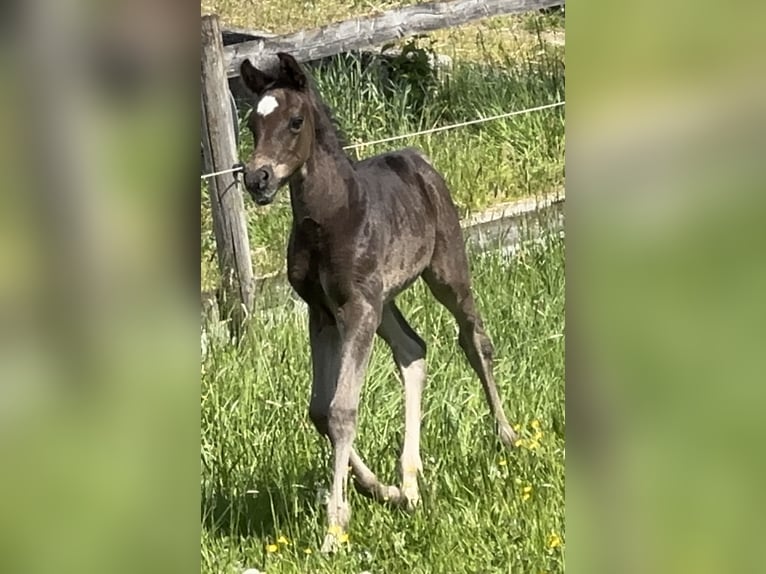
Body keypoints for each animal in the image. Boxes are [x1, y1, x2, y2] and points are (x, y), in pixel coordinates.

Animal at [238, 52, 517, 552]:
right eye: (252, 122)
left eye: (294, 121)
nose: (257, 178)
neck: (329, 219)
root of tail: (415, 156)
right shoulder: (323, 312)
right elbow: (320, 410)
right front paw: (379, 490)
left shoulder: (356, 309)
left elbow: (342, 409)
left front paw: (335, 527)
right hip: (384, 303)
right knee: (413, 350)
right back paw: (408, 485)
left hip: (445, 272)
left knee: (473, 338)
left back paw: (506, 435)